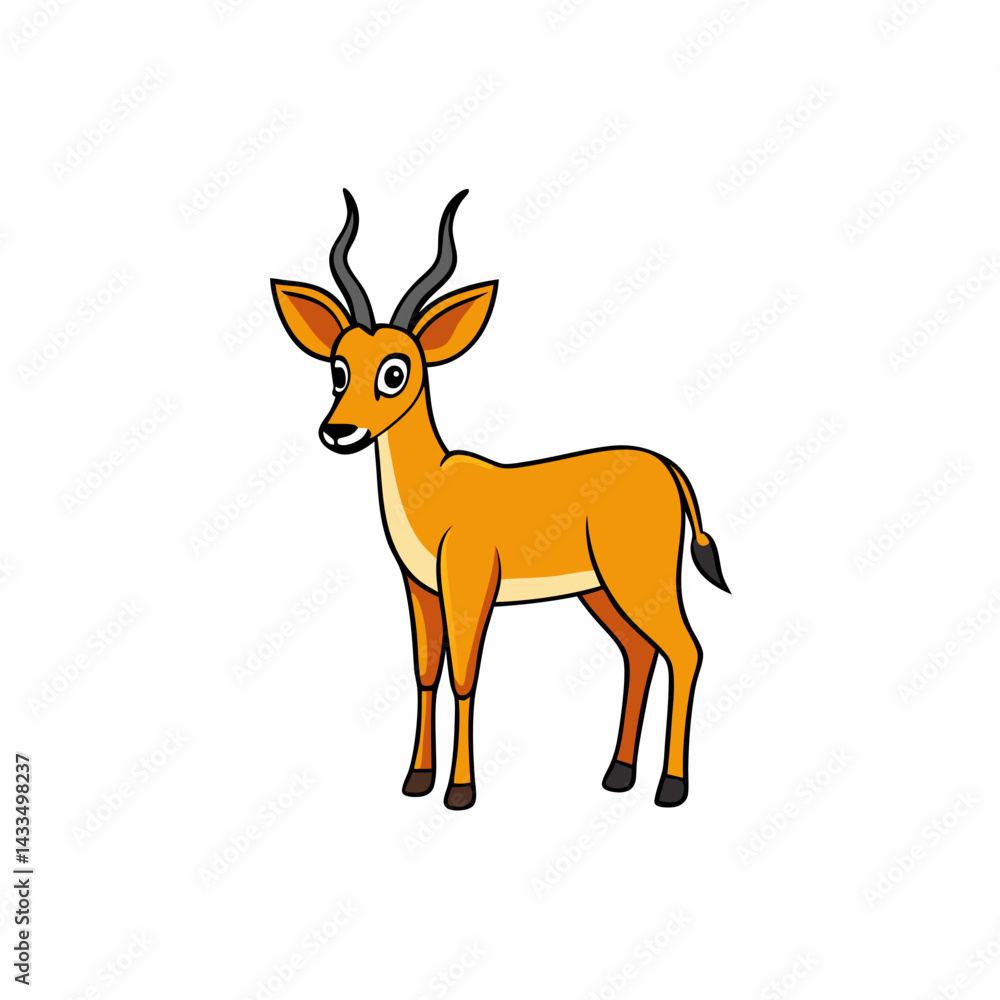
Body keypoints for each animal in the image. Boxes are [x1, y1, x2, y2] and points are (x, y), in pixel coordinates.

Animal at [271, 190, 729, 811]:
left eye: (395, 371)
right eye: (339, 369)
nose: (338, 431)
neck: (435, 488)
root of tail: (670, 469)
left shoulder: (470, 586)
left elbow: (464, 675)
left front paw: (459, 791)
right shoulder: (420, 588)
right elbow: (425, 671)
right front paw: (416, 780)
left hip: (640, 578)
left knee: (685, 650)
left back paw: (671, 787)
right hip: (600, 591)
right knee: (639, 653)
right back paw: (617, 774)